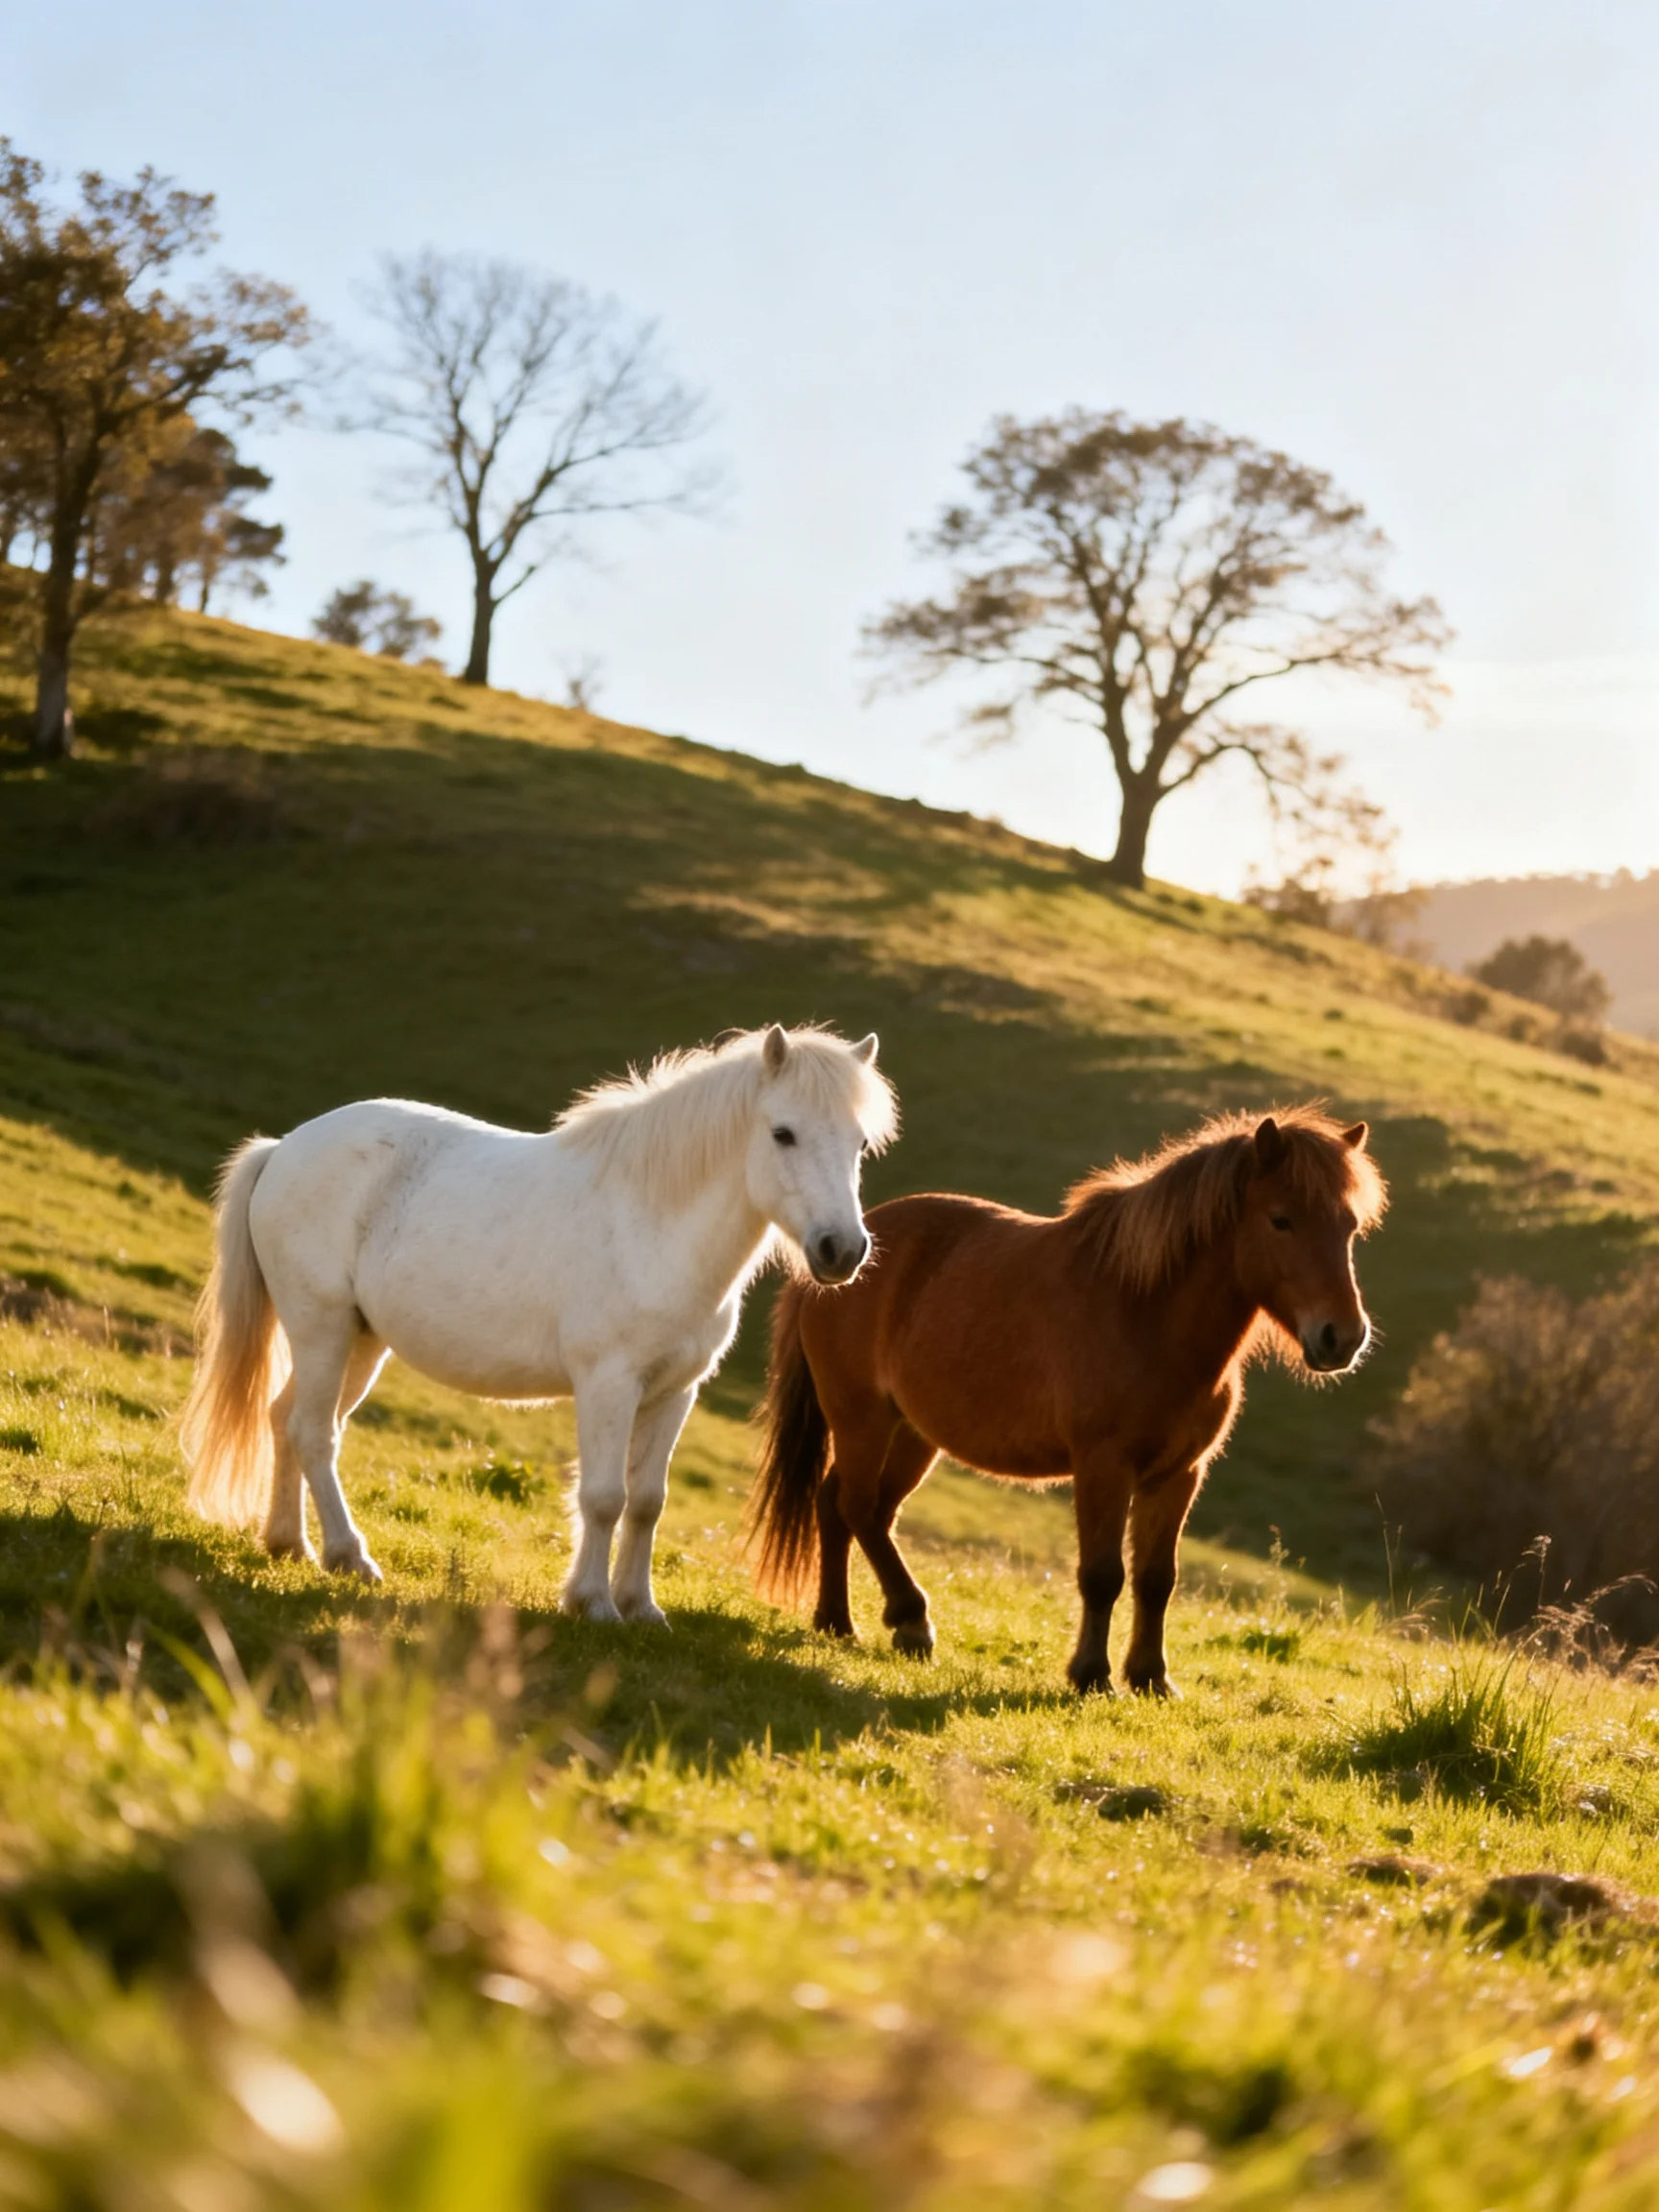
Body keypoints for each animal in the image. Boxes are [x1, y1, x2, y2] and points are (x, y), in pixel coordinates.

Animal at [181, 1024, 898, 1618]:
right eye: (783, 1133)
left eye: (860, 1143)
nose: (842, 1249)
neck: (652, 1222)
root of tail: (283, 1147)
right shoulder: (609, 1385)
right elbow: (605, 1497)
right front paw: (593, 1604)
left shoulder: (675, 1393)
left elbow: (648, 1502)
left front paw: (640, 1607)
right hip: (322, 1328)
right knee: (314, 1434)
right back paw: (347, 1555)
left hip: (359, 1341)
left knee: (286, 1419)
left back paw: (288, 1543)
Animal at [751, 1106, 1385, 1695]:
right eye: (1282, 1220)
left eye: (1350, 1227)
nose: (1342, 1337)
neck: (1146, 1315)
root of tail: (837, 1258)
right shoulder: (1104, 1466)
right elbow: (1102, 1574)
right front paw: (1091, 1674)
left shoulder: (1179, 1474)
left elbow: (1157, 1578)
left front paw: (1151, 1678)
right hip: (861, 1417)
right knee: (855, 1506)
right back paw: (909, 1620)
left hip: (911, 1434)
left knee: (850, 1506)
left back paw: (839, 1621)